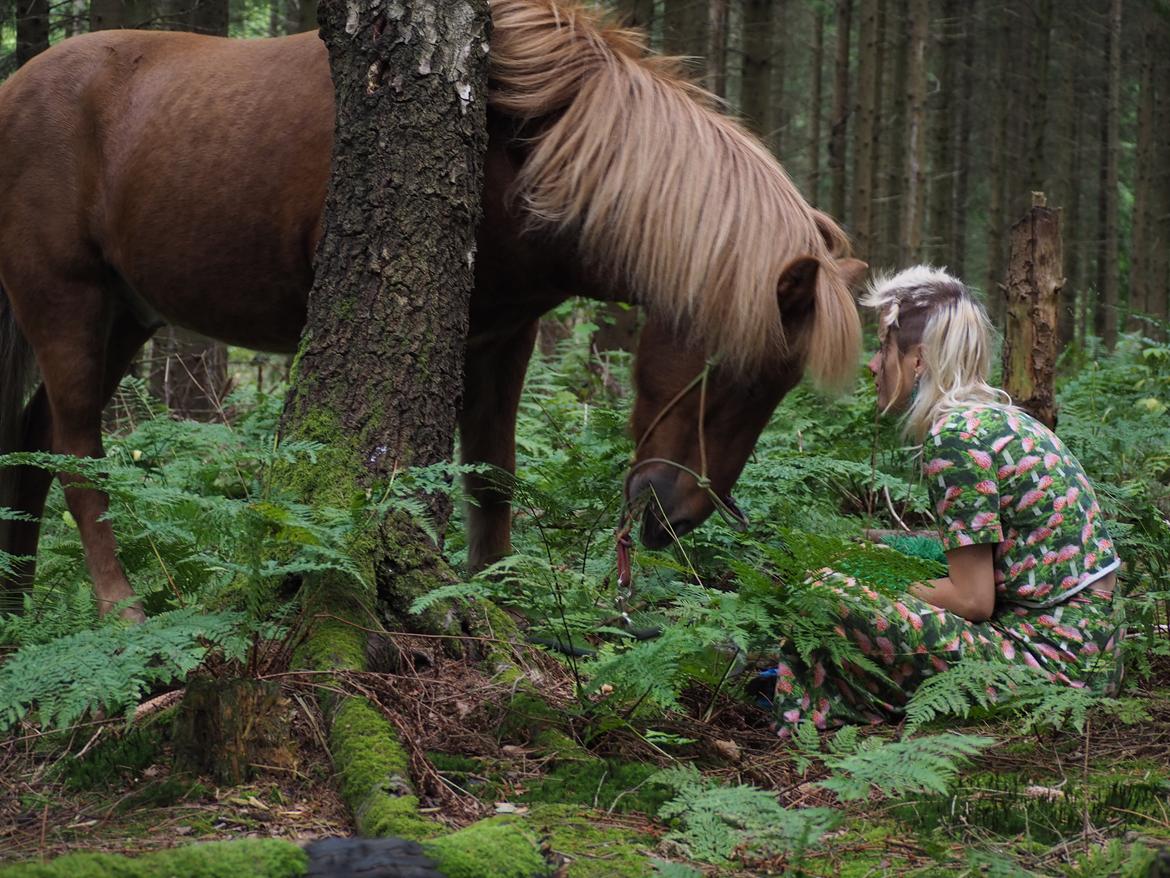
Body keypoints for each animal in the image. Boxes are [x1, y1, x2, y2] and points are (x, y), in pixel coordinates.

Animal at [0, 0, 865, 618]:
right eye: (734, 371)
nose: (673, 519)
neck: (525, 144)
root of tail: (15, 88)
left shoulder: (505, 335)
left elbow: (493, 478)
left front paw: (497, 599)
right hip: (64, 301)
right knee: (74, 450)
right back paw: (120, 609)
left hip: (125, 315)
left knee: (33, 438)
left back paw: (15, 604)